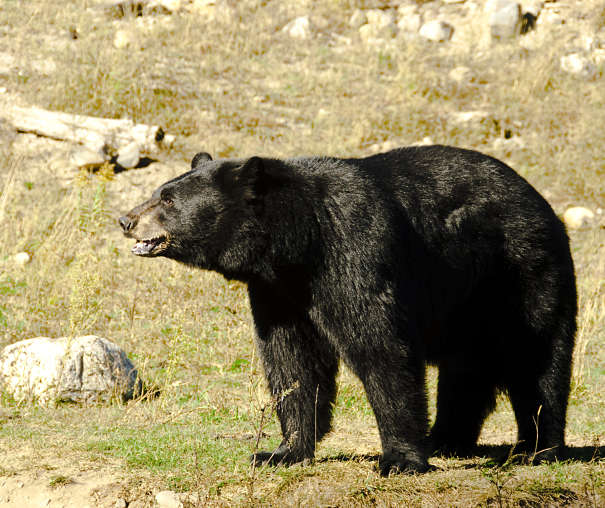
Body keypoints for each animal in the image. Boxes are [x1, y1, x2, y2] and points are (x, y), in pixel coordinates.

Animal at [118, 145, 576, 474]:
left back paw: (538, 449)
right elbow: (292, 360)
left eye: (168, 199)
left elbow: (380, 346)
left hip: (521, 273)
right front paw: (280, 451)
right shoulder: (278, 292)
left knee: (538, 359)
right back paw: (447, 439)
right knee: (468, 371)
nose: (126, 220)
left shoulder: (355, 250)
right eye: (159, 192)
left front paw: (400, 460)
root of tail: (541, 200)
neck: (300, 243)